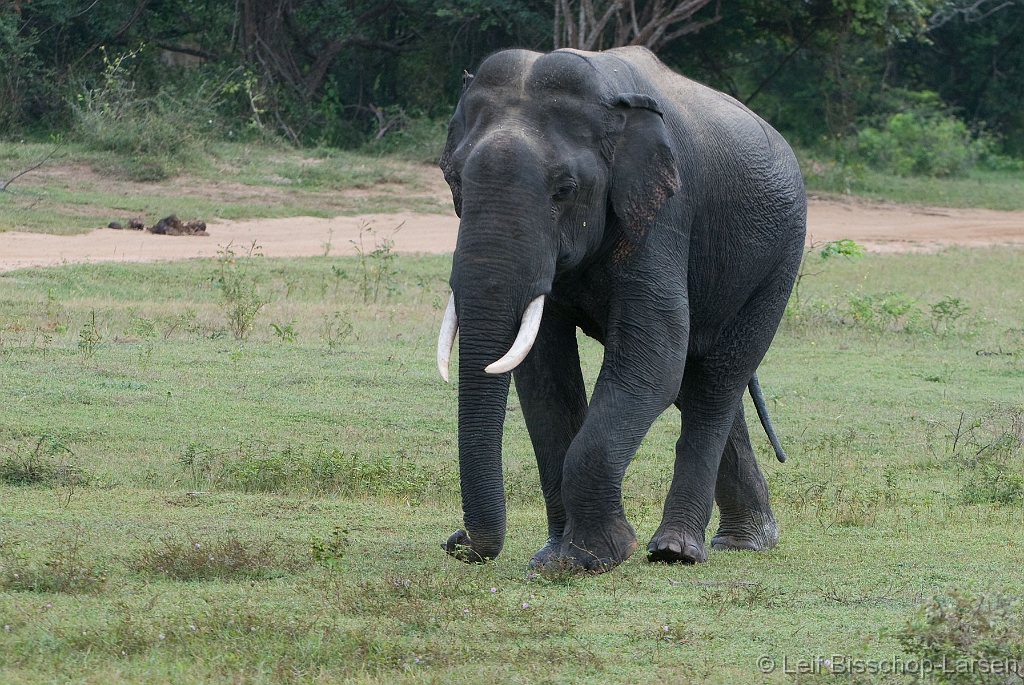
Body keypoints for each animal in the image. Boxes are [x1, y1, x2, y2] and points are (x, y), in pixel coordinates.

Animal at [436, 46, 802, 573]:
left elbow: (653, 359)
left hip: (778, 260)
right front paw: (553, 557)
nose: (456, 540)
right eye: (454, 180)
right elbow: (543, 372)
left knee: (717, 381)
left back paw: (677, 551)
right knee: (697, 382)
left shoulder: (665, 213)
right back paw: (746, 541)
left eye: (564, 189)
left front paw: (592, 558)